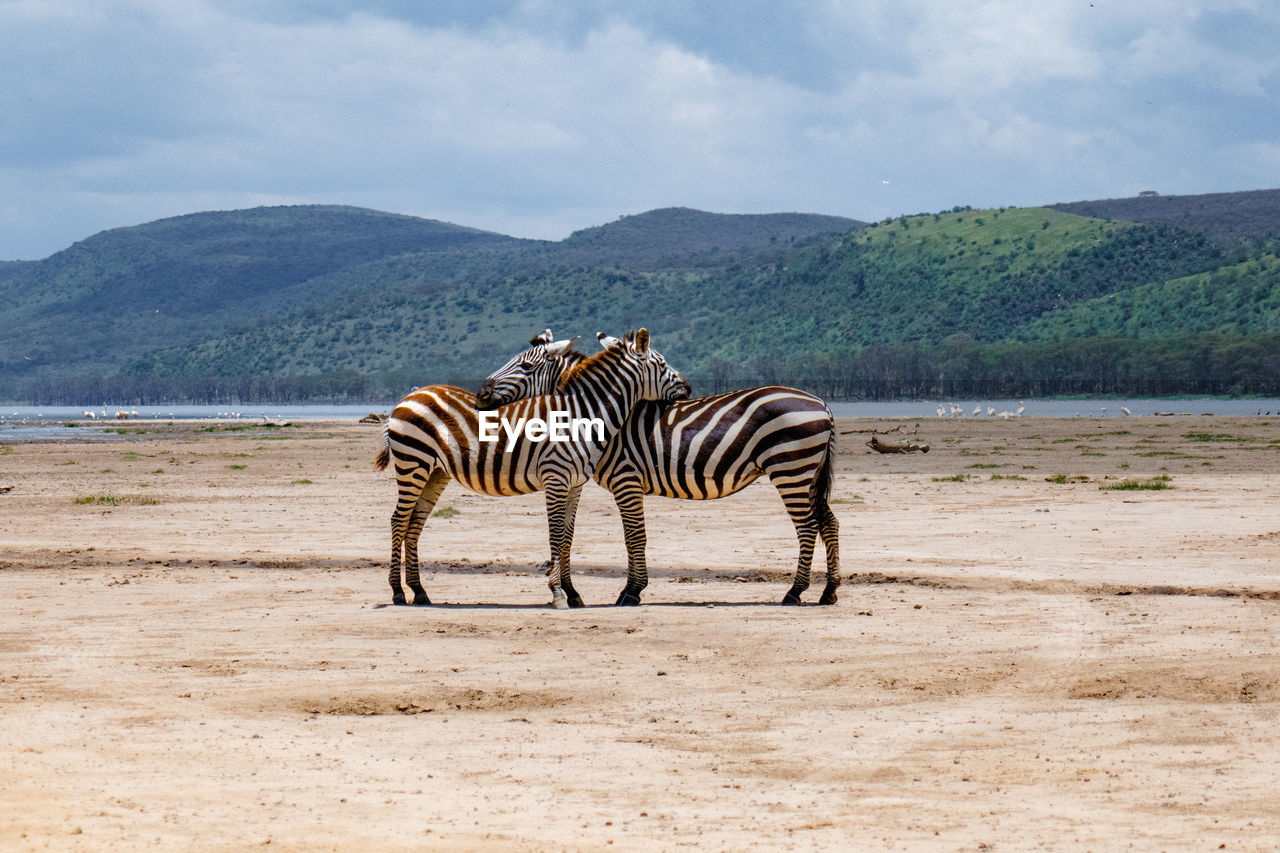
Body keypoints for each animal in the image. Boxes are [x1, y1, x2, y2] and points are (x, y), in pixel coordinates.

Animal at [373, 325, 691, 604]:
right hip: (413, 463)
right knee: (398, 520)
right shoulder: (555, 477)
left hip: (435, 472)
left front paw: (572, 592)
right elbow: (555, 533)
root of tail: (409, 397)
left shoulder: (575, 482)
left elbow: (567, 536)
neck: (580, 415)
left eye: (526, 365)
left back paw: (419, 592)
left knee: (414, 522)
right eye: (662, 364)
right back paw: (397, 592)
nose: (688, 388)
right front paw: (557, 593)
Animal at [478, 327, 839, 601]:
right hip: (807, 474)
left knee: (808, 527)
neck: (595, 415)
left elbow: (634, 536)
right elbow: (574, 535)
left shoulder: (626, 479)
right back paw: (828, 592)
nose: (480, 393)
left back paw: (795, 592)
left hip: (790, 469)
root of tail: (821, 402)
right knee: (829, 522)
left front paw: (631, 592)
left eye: (525, 367)